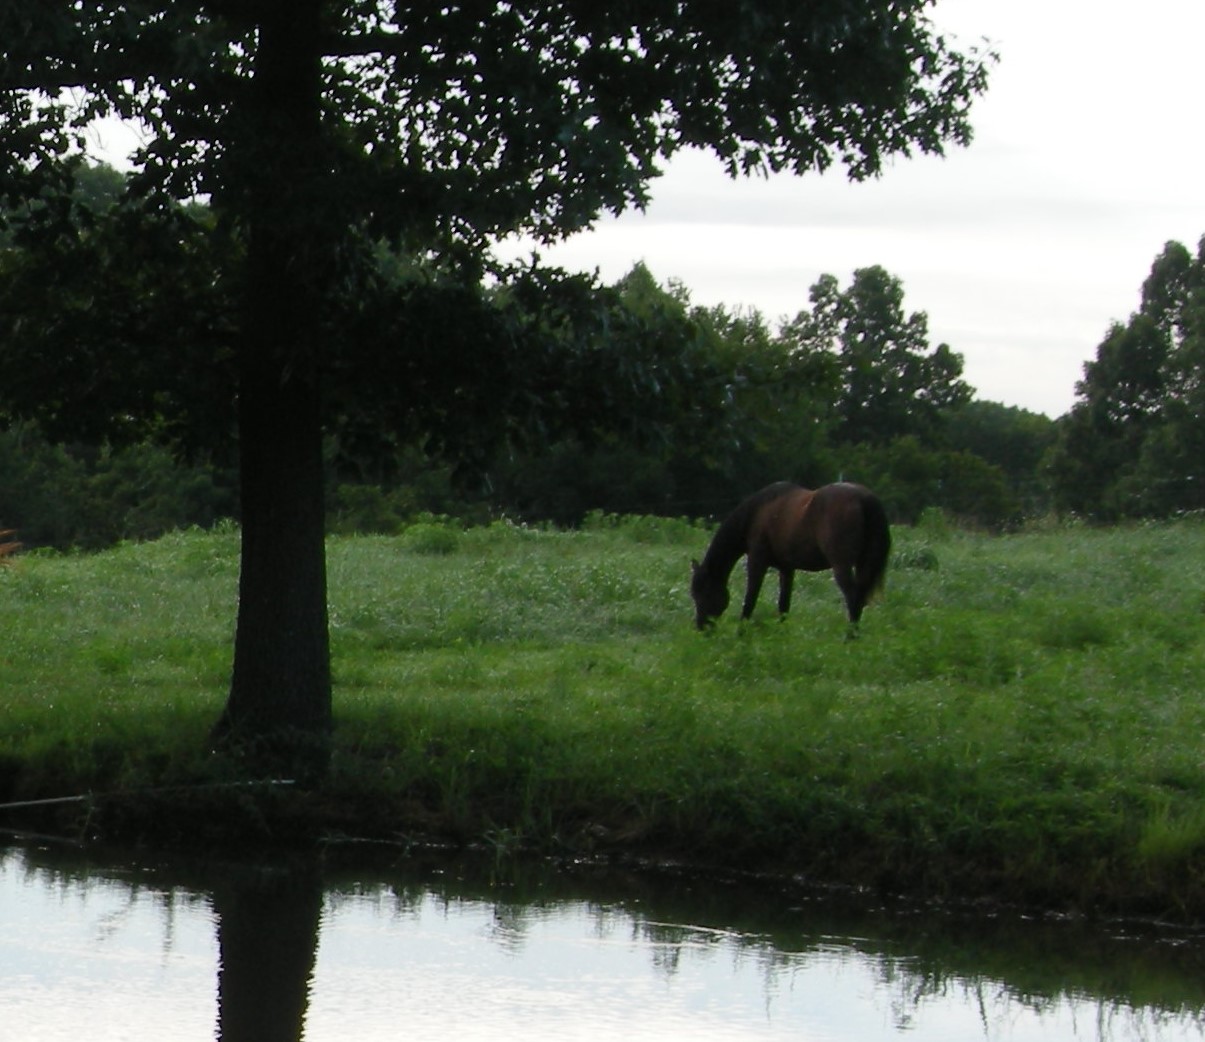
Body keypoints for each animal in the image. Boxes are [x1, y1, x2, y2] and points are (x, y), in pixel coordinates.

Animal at [690, 482, 891, 630]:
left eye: (703, 592)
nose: (701, 627)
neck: (758, 512)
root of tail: (865, 499)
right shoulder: (786, 568)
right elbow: (783, 605)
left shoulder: (757, 561)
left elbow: (750, 601)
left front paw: (741, 632)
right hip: (864, 564)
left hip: (842, 565)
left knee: (853, 597)